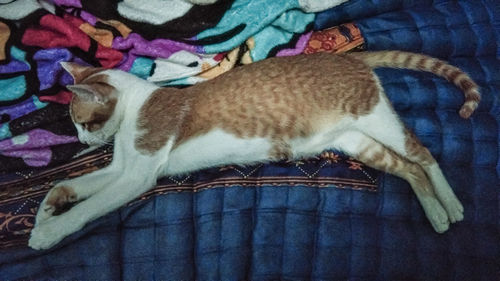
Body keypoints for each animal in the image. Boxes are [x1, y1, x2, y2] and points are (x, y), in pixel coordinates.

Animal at [28, 50, 480, 249]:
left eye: (83, 122)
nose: (82, 141)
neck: (137, 106)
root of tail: (348, 56)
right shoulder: (121, 169)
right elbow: (65, 185)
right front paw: (47, 211)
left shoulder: (137, 176)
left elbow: (89, 207)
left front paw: (49, 232)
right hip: (356, 140)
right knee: (408, 168)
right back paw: (436, 214)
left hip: (376, 119)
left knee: (423, 155)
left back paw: (453, 205)